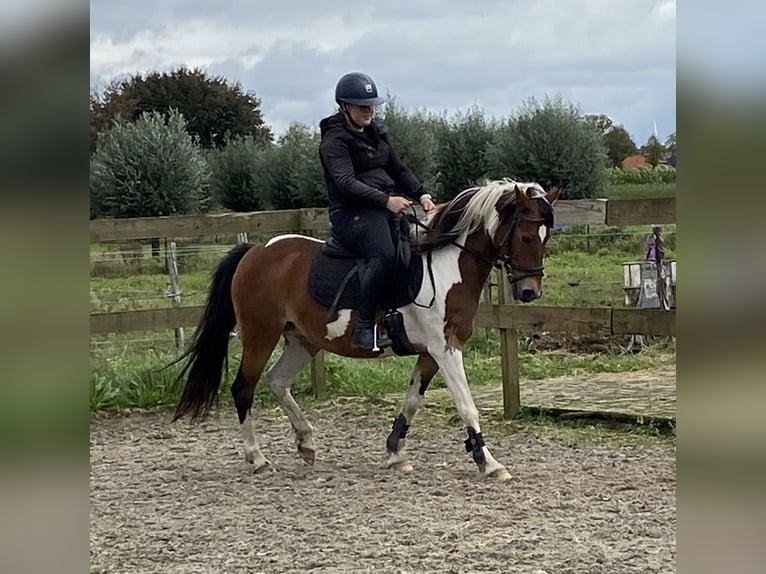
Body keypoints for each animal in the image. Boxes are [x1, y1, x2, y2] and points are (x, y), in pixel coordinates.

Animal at [171, 179, 560, 482]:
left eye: (546, 237)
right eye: (526, 236)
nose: (530, 292)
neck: (448, 265)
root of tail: (255, 251)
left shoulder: (429, 352)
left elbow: (412, 400)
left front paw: (395, 454)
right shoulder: (445, 348)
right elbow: (467, 405)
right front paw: (489, 463)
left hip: (302, 341)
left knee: (277, 382)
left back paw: (306, 443)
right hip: (259, 335)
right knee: (244, 389)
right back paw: (258, 459)